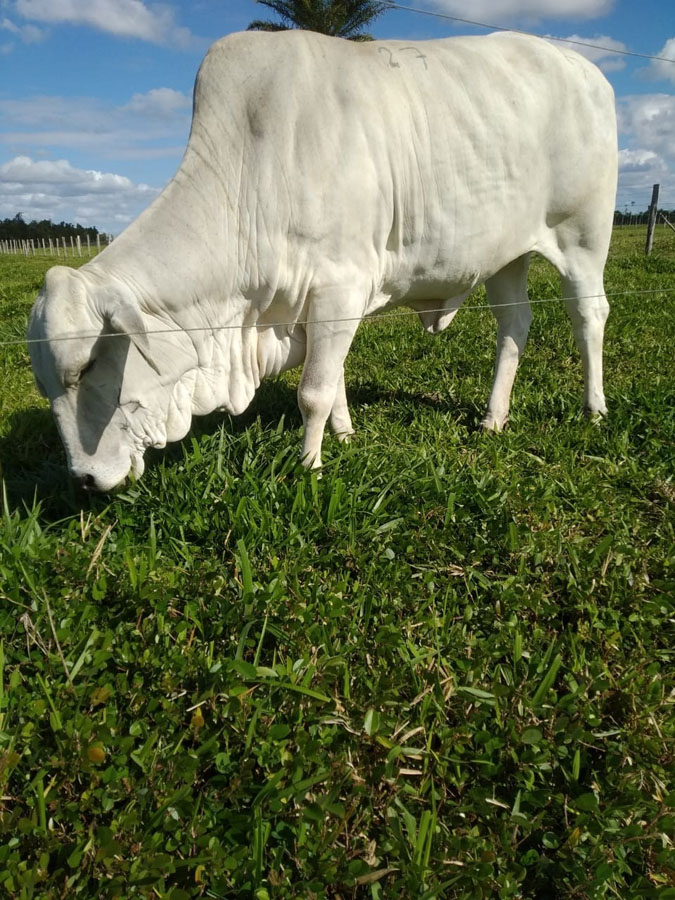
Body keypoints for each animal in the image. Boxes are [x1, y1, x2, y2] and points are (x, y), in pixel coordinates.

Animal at [28, 29, 617, 491]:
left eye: (86, 367)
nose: (84, 478)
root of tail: (587, 70)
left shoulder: (341, 285)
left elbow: (313, 391)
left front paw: (308, 465)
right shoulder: (314, 307)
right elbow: (332, 380)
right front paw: (345, 434)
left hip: (584, 237)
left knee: (589, 315)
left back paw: (594, 410)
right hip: (504, 257)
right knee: (514, 324)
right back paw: (495, 417)